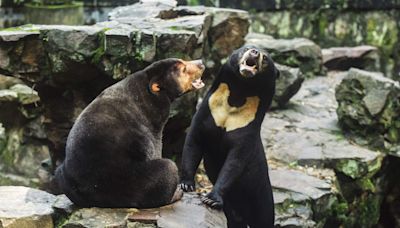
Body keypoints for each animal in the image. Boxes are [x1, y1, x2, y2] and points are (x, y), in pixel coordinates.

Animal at [54, 57, 205, 208]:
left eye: (184, 61)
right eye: (183, 69)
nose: (201, 63)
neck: (148, 82)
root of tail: (95, 195)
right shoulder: (153, 119)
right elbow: (155, 147)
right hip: (130, 180)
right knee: (167, 168)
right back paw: (175, 194)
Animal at [180, 45, 278, 227]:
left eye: (266, 58)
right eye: (247, 48)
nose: (254, 52)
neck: (239, 92)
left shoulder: (246, 126)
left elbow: (235, 161)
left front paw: (211, 199)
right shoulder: (207, 112)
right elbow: (193, 142)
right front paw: (186, 185)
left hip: (262, 196)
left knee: (263, 218)